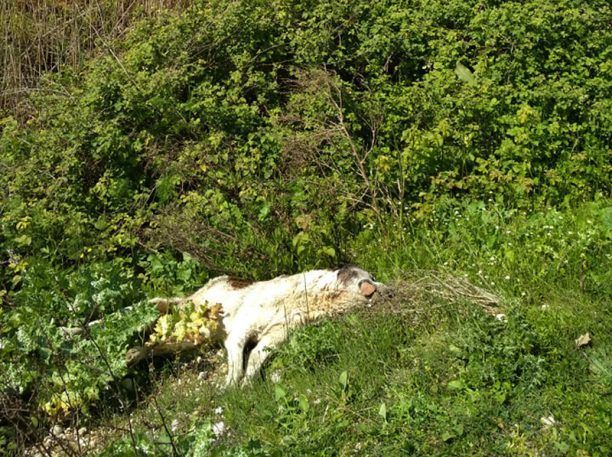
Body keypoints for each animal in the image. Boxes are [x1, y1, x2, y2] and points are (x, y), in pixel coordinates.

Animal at [152, 264, 382, 384]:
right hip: (195, 316)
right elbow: (237, 363)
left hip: (194, 334)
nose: (377, 285)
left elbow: (255, 356)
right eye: (365, 275)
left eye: (373, 276)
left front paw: (246, 385)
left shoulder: (277, 334)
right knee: (171, 313)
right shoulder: (240, 330)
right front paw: (230, 387)